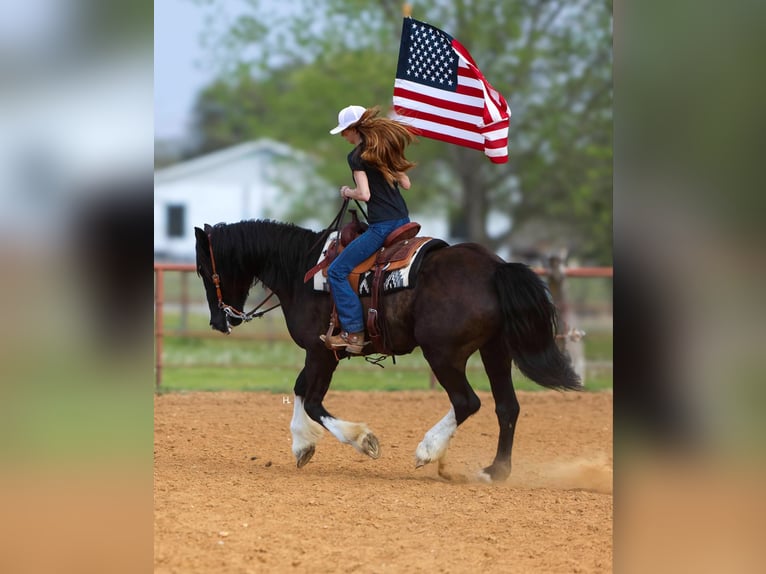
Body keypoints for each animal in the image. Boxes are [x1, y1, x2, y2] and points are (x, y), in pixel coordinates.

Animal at [194, 218, 581, 482]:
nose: (218, 321)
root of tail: (495, 268)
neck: (302, 270)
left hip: (443, 354)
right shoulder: (320, 354)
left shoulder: (322, 352)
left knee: (467, 402)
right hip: (494, 350)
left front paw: (364, 440)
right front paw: (302, 445)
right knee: (507, 406)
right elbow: (302, 390)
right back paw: (494, 471)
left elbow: (313, 400)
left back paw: (428, 450)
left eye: (202, 268)